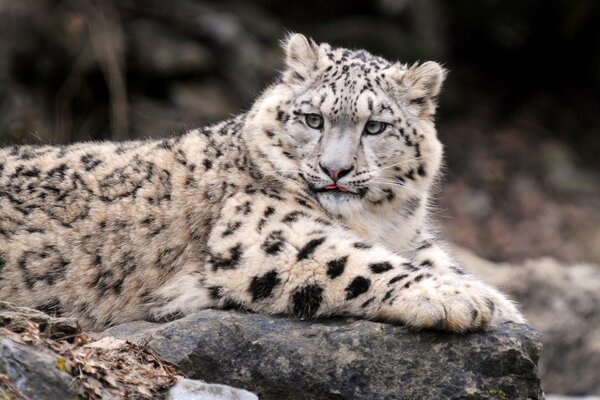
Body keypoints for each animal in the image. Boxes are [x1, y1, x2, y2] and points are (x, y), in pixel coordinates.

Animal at [0, 34, 524, 330]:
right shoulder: (262, 230)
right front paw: (463, 300)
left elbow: (440, 261)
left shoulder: (411, 239)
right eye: (313, 119)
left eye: (375, 127)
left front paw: (502, 305)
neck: (376, 223)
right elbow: (360, 262)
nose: (335, 169)